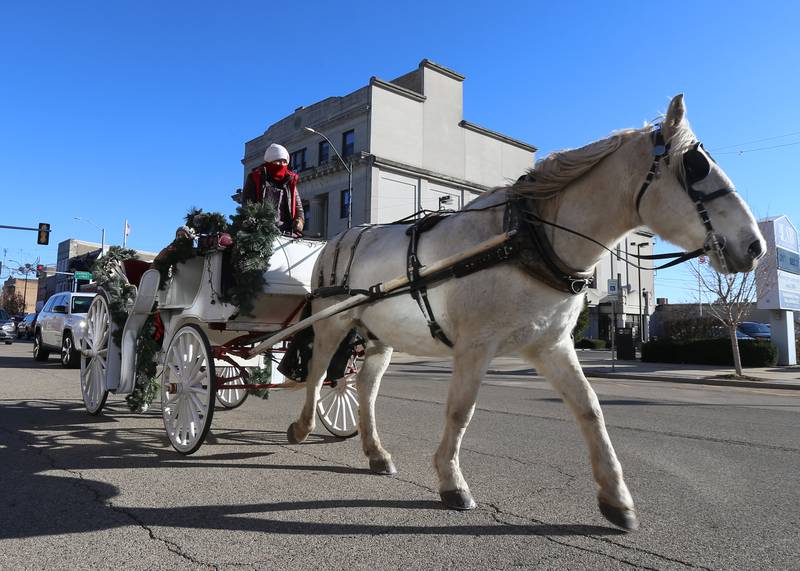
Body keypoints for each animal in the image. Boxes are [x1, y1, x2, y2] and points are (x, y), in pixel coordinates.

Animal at [284, 95, 764, 532]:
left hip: (378, 334)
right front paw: (452, 483)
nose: (755, 246)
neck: (529, 239)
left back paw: (376, 453)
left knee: (364, 388)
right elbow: (460, 411)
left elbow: (590, 408)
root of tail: (335, 240)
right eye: (695, 169)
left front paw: (616, 498)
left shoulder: (551, 345)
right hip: (332, 320)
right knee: (319, 372)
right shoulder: (475, 345)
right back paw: (302, 428)